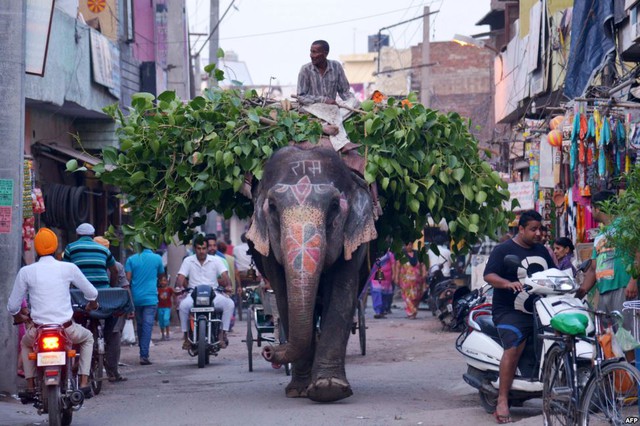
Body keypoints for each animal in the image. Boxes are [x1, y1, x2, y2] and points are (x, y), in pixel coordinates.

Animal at [244, 145, 376, 402]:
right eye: (272, 206)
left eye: (334, 206)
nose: (268, 350)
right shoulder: (269, 252)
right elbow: (283, 297)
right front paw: (299, 390)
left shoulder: (352, 242)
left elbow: (342, 293)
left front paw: (328, 388)